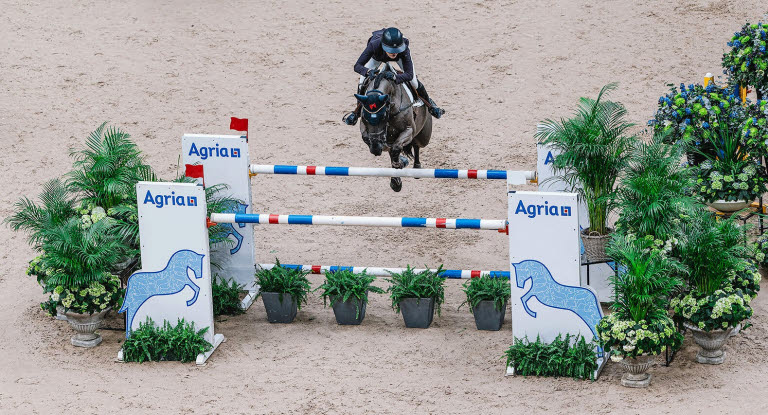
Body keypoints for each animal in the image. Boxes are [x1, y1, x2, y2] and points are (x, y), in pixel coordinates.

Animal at [354, 62, 432, 193]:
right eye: (365, 116)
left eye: (383, 116)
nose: (376, 148)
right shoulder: (365, 127)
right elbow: (373, 140)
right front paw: (398, 175)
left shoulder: (409, 130)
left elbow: (395, 148)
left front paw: (400, 164)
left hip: (424, 137)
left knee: (416, 145)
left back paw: (416, 168)